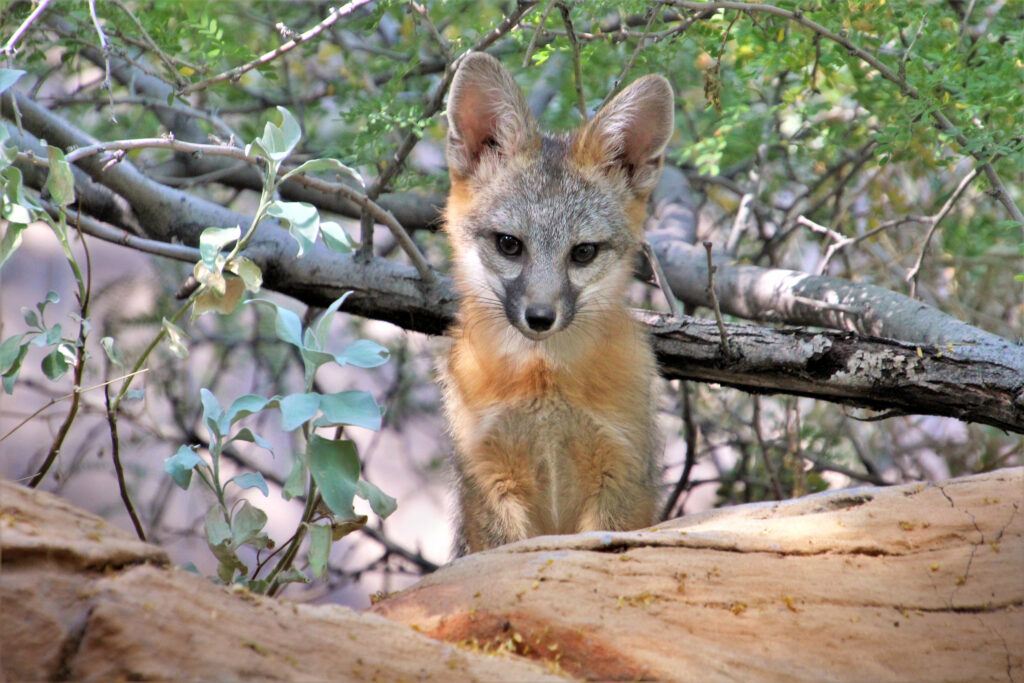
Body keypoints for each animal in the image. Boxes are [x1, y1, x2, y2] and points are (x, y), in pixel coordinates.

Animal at [439, 52, 674, 554]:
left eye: (582, 252)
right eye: (509, 245)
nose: (540, 318)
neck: (542, 379)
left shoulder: (621, 473)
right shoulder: (489, 477)